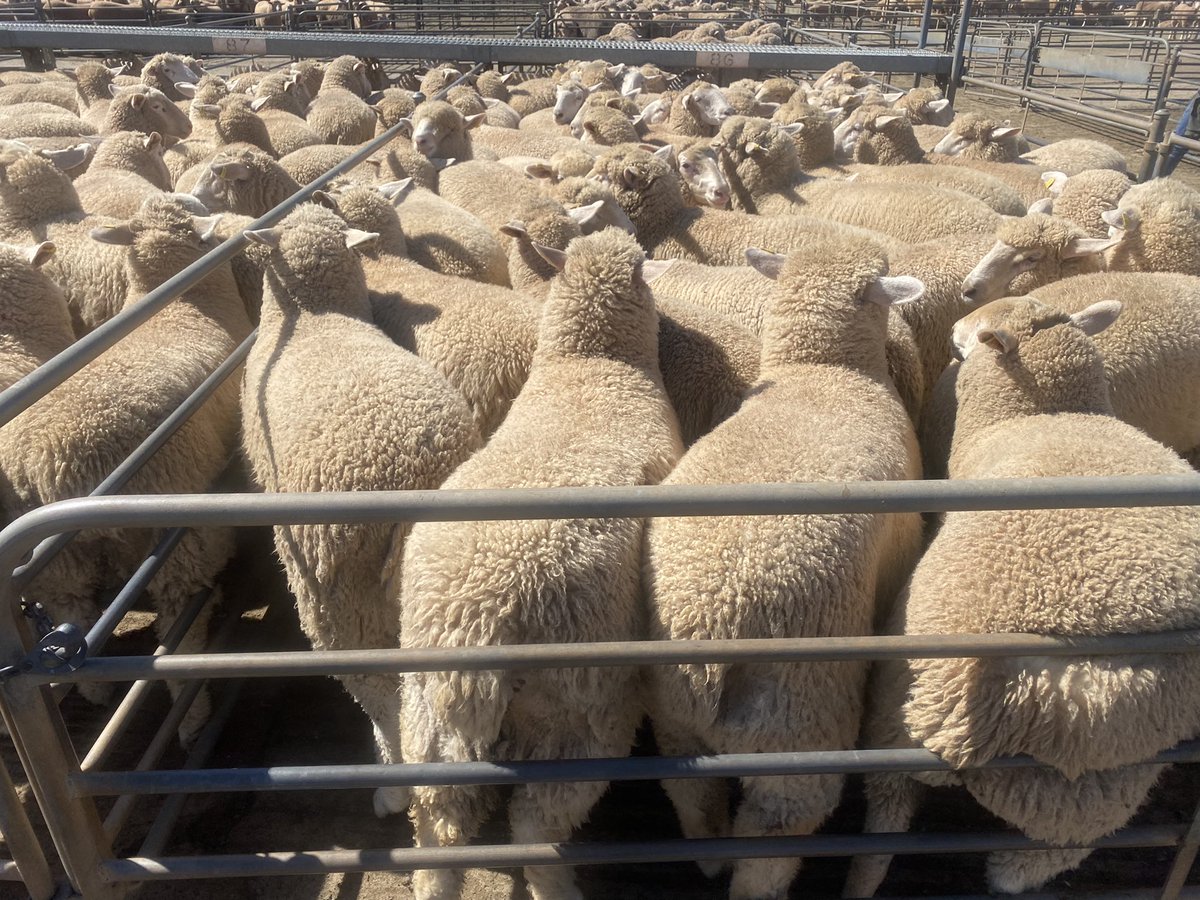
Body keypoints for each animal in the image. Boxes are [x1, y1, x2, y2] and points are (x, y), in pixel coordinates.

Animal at [0, 196, 250, 740]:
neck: (183, 304)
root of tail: (48, 466)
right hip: (169, 526)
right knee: (177, 621)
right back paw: (191, 717)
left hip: (57, 565)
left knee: (71, 612)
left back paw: (88, 687)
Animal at [396, 228, 681, 900]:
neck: (593, 369)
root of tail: (481, 620)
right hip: (581, 714)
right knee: (535, 823)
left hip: (423, 706)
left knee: (438, 820)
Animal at [645, 235, 923, 900]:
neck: (822, 374)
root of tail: (716, 623)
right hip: (799, 725)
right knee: (776, 833)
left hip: (675, 719)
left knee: (693, 796)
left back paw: (708, 859)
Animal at [846, 295, 1200, 899]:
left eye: (966, 341)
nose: (954, 333)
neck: (1041, 413)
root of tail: (1029, 693)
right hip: (1093, 789)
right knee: (1042, 856)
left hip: (901, 709)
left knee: (885, 822)